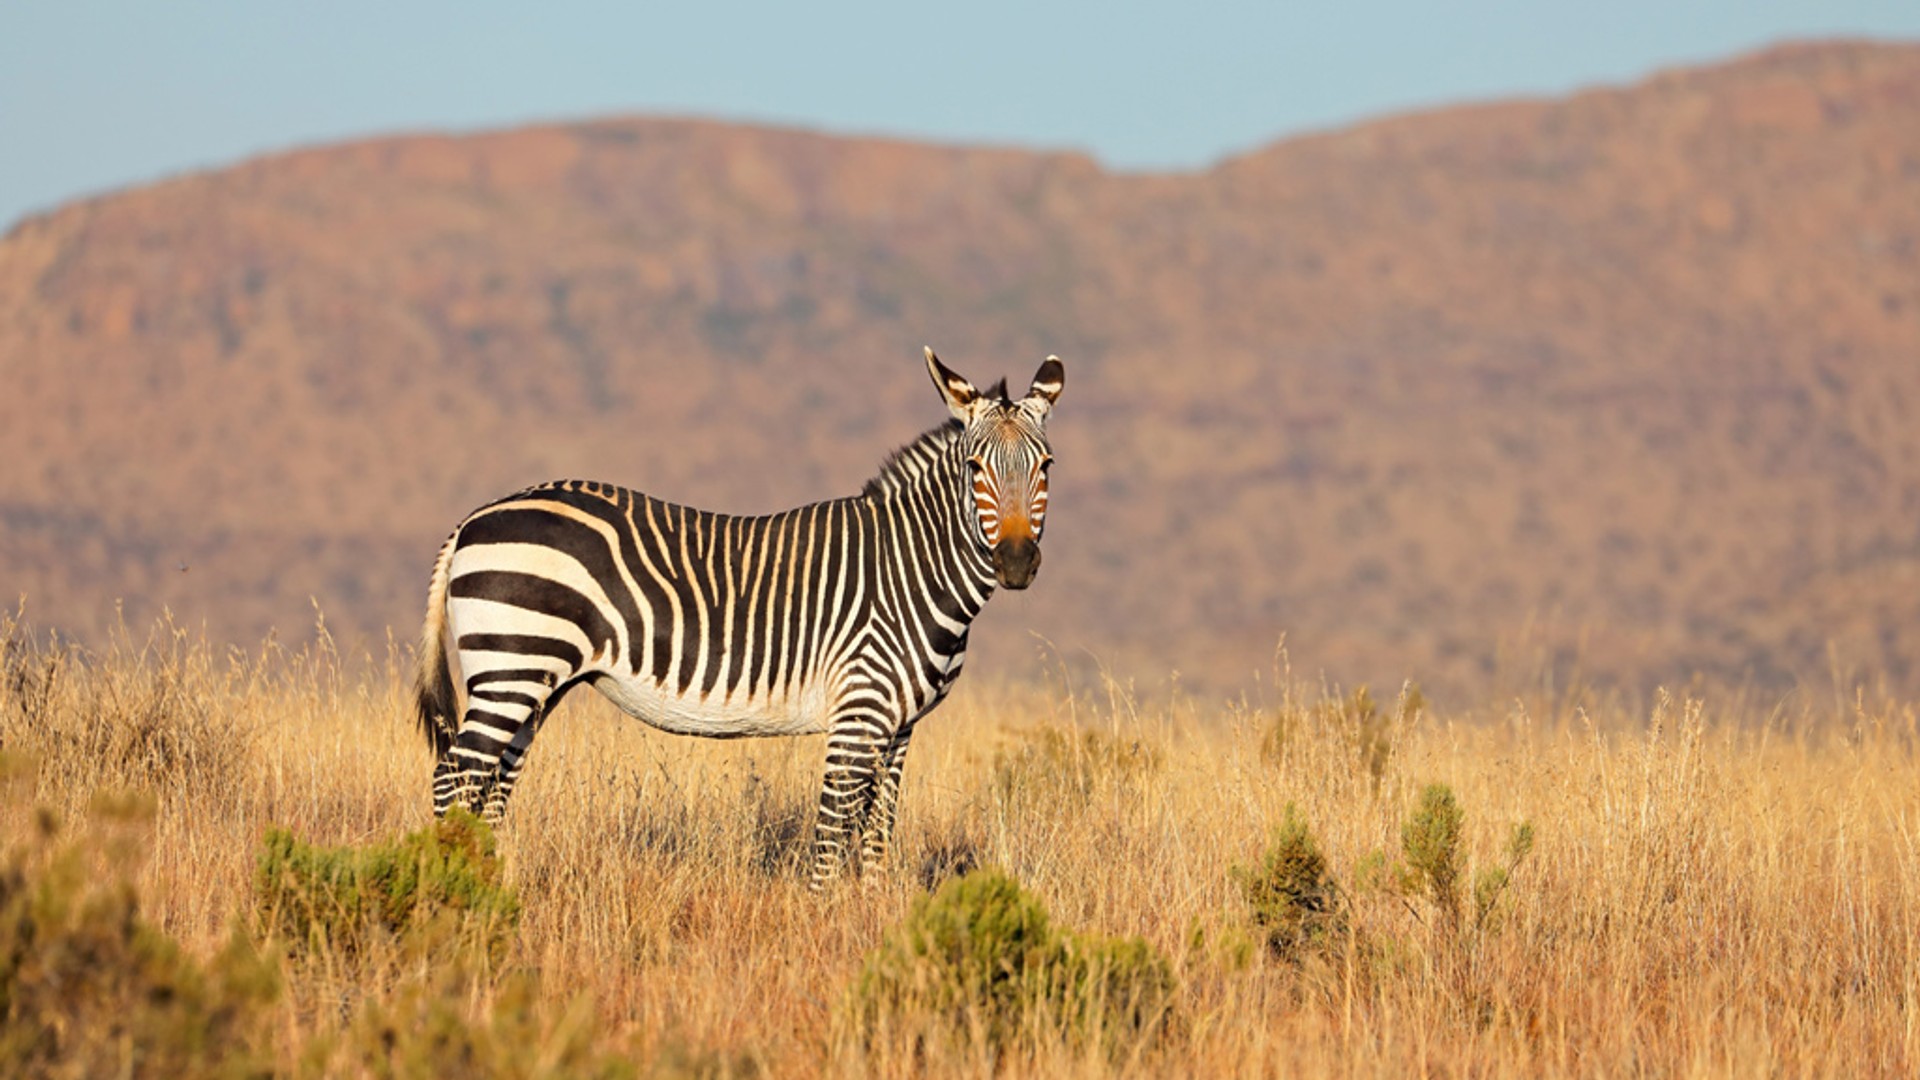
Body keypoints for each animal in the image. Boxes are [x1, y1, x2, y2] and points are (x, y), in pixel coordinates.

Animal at [414, 348, 1064, 888]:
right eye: (975, 467)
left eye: (1047, 466)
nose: (1015, 562)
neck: (910, 568)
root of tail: (474, 518)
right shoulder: (857, 714)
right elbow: (833, 832)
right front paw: (825, 921)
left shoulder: (899, 727)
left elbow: (877, 832)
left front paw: (874, 913)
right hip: (511, 666)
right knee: (456, 777)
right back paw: (453, 894)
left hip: (532, 683)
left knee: (492, 787)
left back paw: (491, 888)